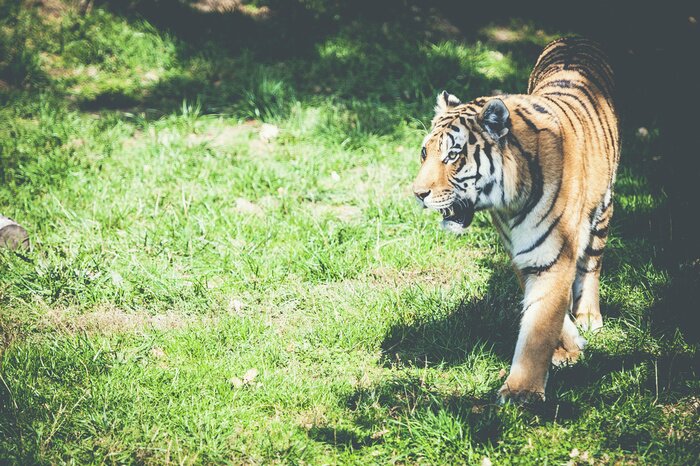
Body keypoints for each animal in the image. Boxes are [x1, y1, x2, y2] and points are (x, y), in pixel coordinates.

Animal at [412, 37, 619, 403]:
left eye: (453, 155)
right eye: (425, 153)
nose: (418, 193)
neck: (509, 204)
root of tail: (574, 38)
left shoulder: (553, 253)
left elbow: (539, 324)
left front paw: (522, 392)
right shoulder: (521, 254)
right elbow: (544, 310)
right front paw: (568, 348)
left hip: (603, 208)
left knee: (592, 264)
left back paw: (589, 316)